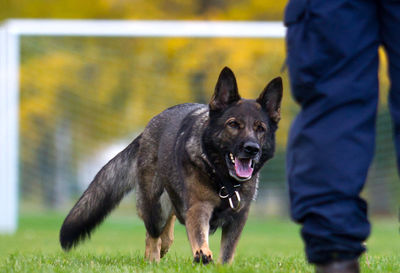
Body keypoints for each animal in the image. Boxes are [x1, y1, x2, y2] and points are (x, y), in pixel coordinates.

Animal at [60, 66, 284, 264]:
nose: (252, 148)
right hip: (153, 205)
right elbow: (198, 234)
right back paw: (153, 260)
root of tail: (147, 128)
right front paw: (202, 253)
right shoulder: (199, 207)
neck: (223, 181)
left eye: (260, 128)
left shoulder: (238, 218)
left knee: (168, 227)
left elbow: (228, 252)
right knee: (152, 235)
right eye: (233, 124)